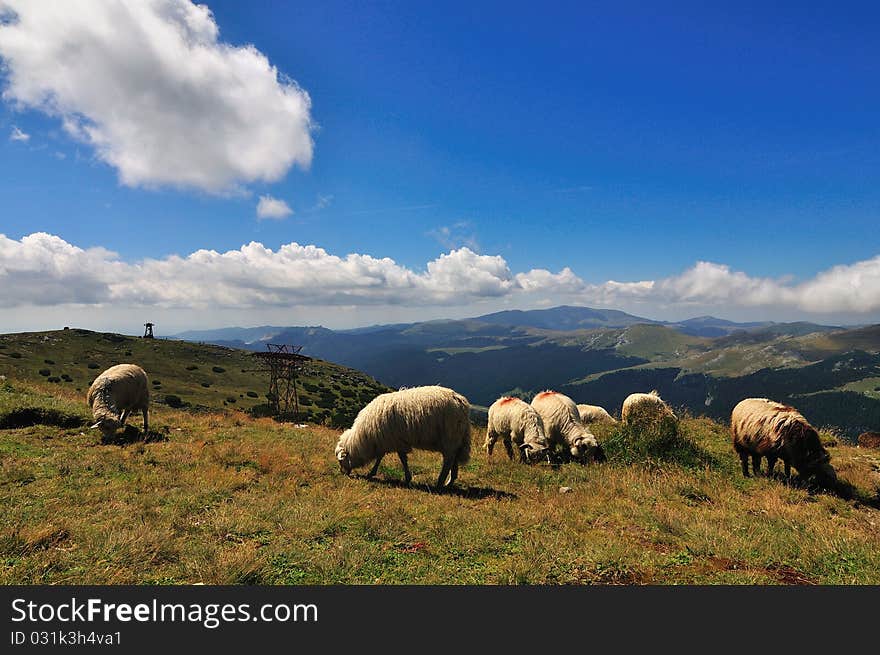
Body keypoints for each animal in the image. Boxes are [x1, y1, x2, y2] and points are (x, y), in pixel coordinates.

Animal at [334, 386, 470, 490]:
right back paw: (450, 482)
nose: (342, 473)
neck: (364, 437)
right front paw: (371, 473)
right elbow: (380, 457)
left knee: (448, 461)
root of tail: (461, 401)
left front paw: (407, 478)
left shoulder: (396, 441)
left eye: (341, 460)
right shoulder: (385, 441)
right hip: (456, 439)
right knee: (454, 458)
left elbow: (402, 460)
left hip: (450, 437)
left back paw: (439, 483)